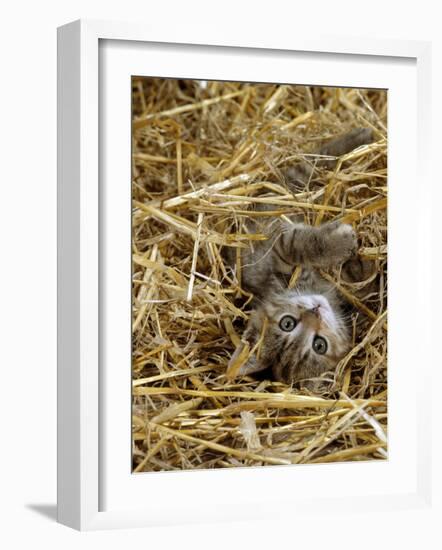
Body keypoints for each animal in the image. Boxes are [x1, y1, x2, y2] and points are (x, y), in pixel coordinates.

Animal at [226, 128, 374, 390]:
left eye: (287, 323)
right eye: (319, 345)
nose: (315, 311)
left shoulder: (276, 251)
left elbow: (296, 245)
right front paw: (347, 247)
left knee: (312, 162)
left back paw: (359, 137)